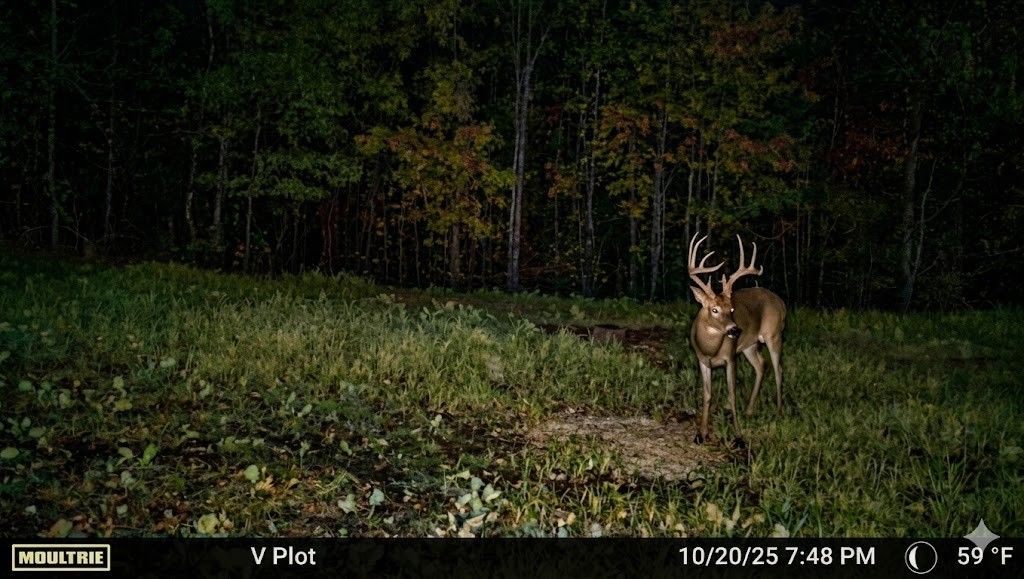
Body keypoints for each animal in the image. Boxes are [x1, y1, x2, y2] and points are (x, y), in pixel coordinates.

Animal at [687, 233, 786, 444]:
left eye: (731, 309)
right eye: (714, 310)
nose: (735, 330)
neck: (711, 348)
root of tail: (780, 302)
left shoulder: (731, 357)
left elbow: (731, 393)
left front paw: (738, 434)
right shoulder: (703, 361)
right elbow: (707, 394)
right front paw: (701, 434)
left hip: (774, 334)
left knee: (778, 369)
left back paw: (779, 411)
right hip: (750, 344)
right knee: (761, 365)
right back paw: (749, 410)